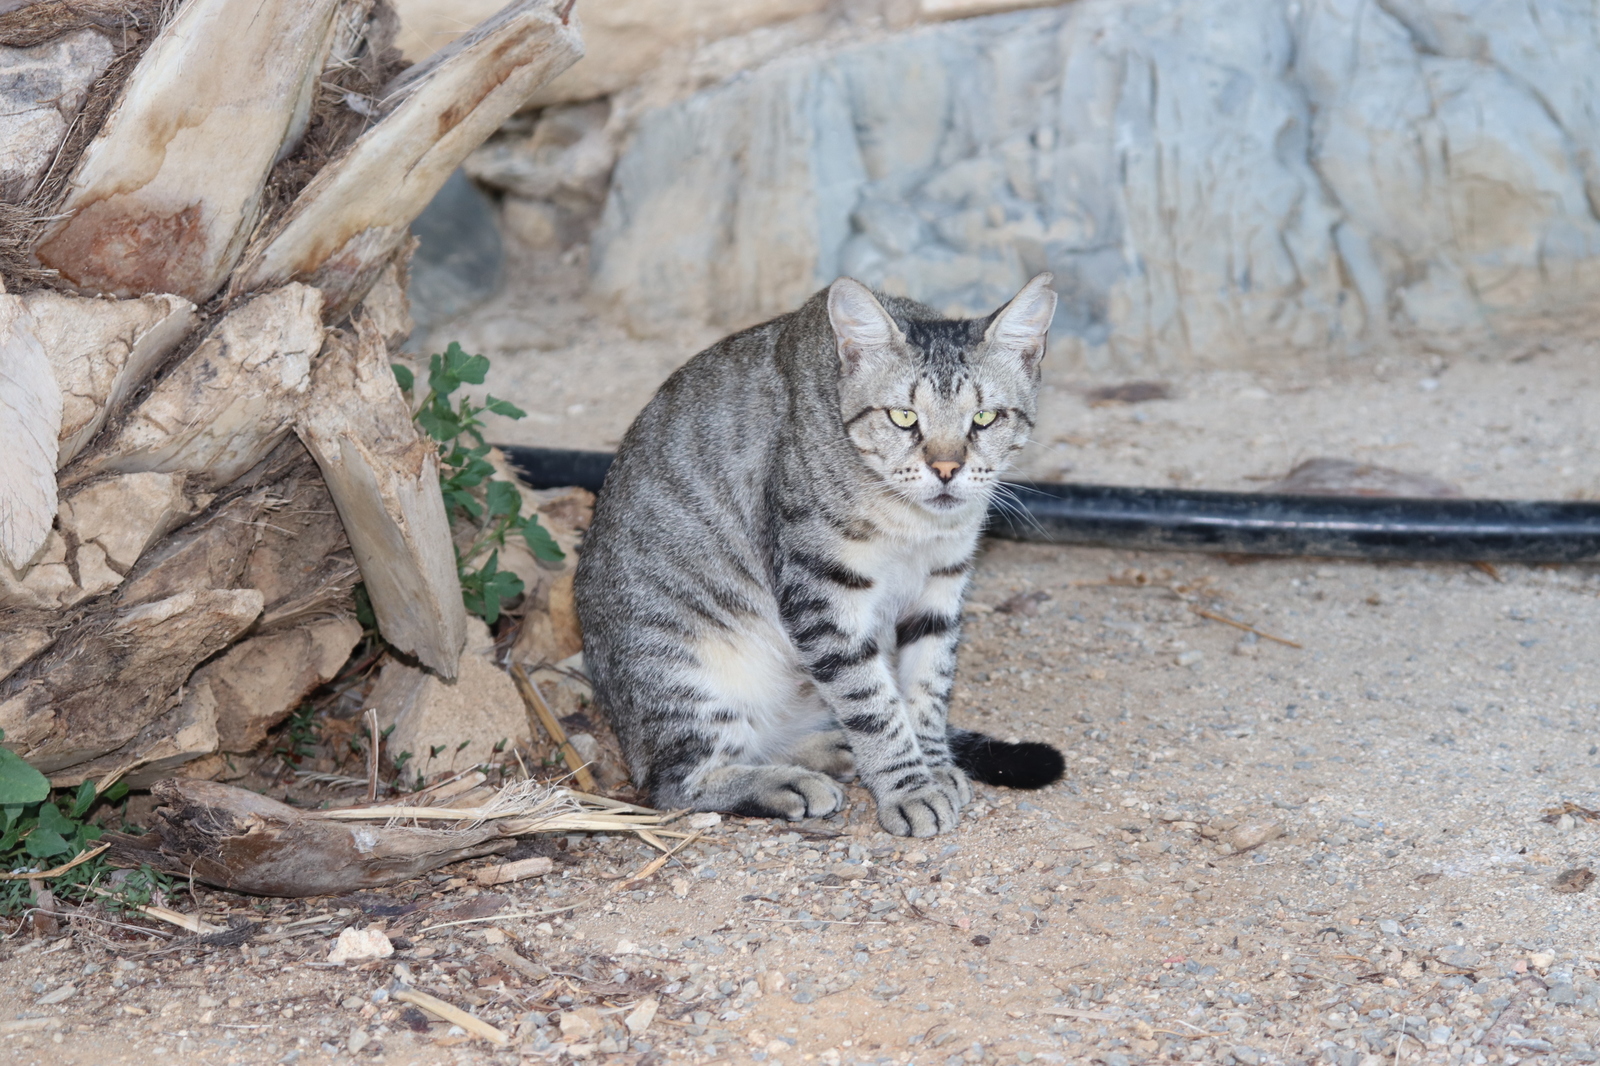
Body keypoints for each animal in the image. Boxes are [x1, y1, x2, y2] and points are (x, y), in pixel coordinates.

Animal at [576, 272, 1062, 832]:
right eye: (903, 417)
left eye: (984, 417)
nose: (946, 469)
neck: (915, 528)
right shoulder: (821, 592)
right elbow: (872, 703)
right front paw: (910, 787)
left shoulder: (942, 584)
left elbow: (927, 689)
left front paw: (934, 764)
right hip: (685, 671)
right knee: (676, 782)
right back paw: (788, 782)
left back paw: (829, 749)